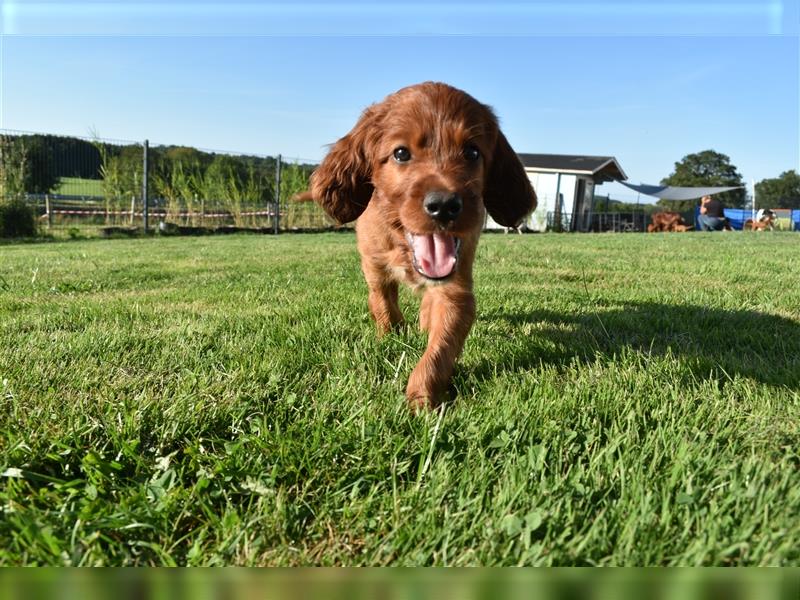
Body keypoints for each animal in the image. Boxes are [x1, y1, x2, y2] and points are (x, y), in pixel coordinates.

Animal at [306, 82, 536, 408]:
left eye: (472, 152)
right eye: (401, 153)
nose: (444, 206)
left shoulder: (455, 289)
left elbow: (441, 347)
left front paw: (421, 398)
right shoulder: (374, 267)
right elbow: (383, 303)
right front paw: (390, 336)